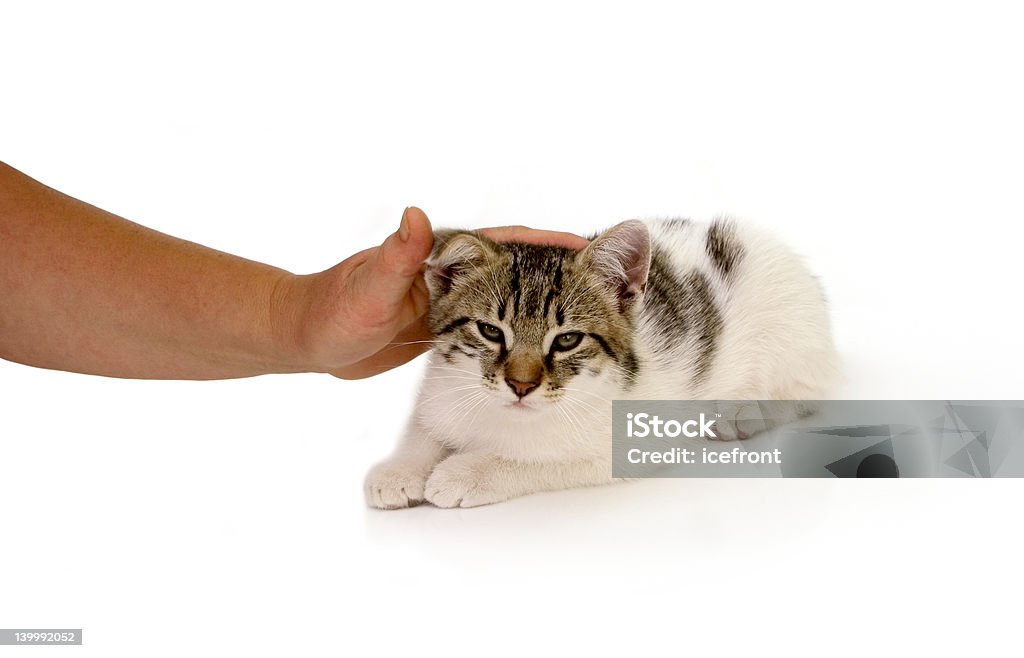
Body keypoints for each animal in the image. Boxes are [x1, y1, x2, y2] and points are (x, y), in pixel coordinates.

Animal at [364, 218, 835, 507]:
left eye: (567, 339)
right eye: (491, 331)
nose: (521, 385)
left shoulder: (631, 439)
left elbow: (539, 459)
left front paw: (464, 472)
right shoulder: (445, 383)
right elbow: (426, 425)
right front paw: (400, 468)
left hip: (793, 334)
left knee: (805, 391)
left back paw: (742, 413)